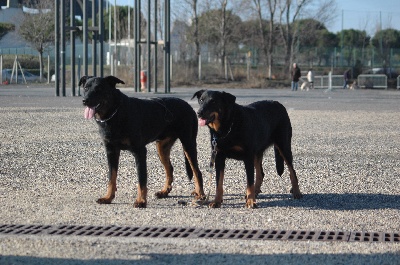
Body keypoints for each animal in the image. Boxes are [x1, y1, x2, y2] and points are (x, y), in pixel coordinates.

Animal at [79, 75, 205, 207]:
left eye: (99, 89)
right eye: (86, 88)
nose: (85, 100)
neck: (115, 112)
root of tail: (188, 106)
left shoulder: (139, 151)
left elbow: (141, 178)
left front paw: (141, 200)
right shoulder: (111, 151)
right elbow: (111, 177)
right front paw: (108, 197)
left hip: (188, 144)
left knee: (197, 172)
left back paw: (200, 195)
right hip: (162, 148)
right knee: (170, 169)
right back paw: (164, 192)